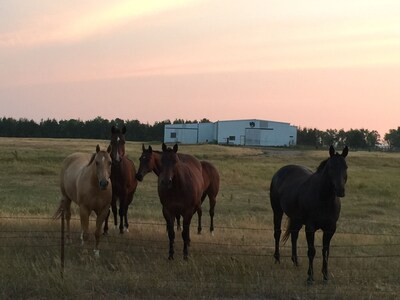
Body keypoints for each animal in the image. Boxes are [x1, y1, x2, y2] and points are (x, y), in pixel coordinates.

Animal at [270, 145, 348, 284]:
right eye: (331, 167)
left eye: (346, 167)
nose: (340, 190)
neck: (323, 199)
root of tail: (279, 172)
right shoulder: (310, 227)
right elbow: (312, 251)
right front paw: (310, 277)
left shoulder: (330, 229)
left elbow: (325, 251)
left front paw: (325, 277)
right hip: (277, 211)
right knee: (277, 233)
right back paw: (277, 259)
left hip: (296, 218)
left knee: (294, 235)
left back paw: (295, 262)